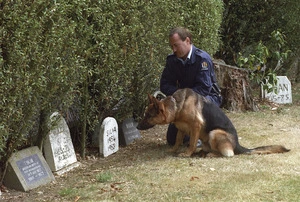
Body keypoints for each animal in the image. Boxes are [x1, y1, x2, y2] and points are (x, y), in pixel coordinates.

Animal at [137, 87, 290, 157]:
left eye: (148, 115)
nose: (137, 126)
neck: (177, 106)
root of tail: (237, 145)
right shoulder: (181, 128)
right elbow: (177, 140)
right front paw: (173, 150)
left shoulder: (195, 126)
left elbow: (192, 142)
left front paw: (187, 153)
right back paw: (204, 152)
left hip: (214, 133)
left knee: (229, 154)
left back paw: (211, 154)